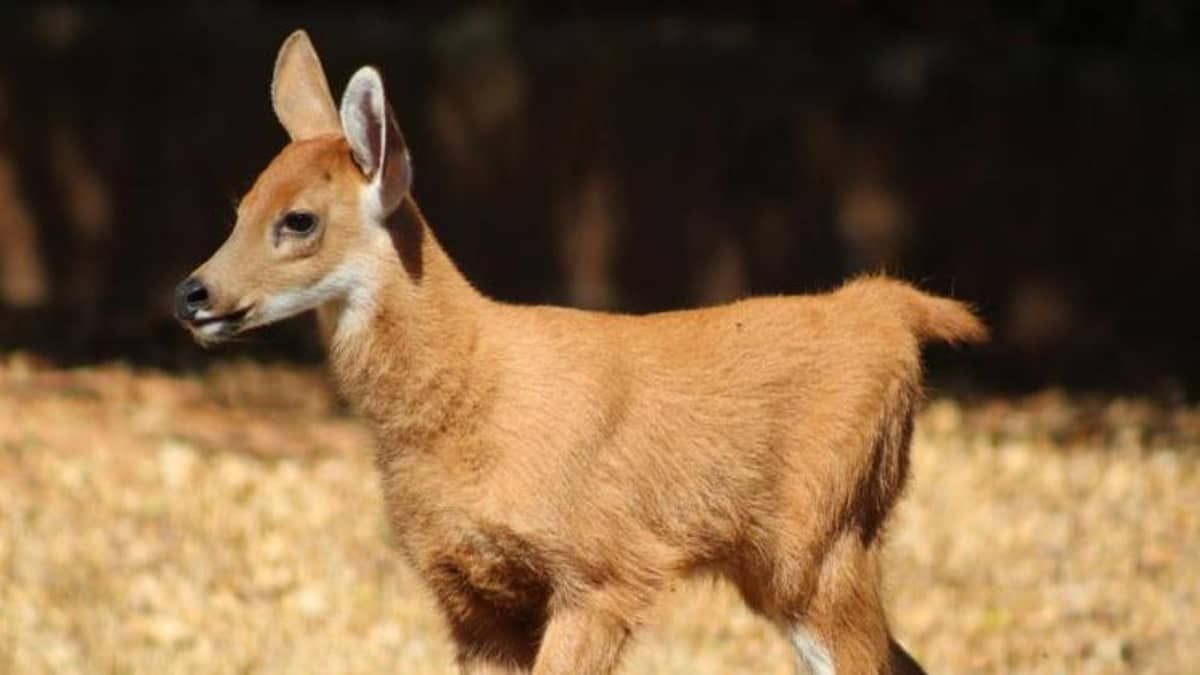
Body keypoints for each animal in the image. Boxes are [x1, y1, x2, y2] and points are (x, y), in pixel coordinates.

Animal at [175, 30, 986, 675]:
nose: (193, 294)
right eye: (241, 205)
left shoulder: (603, 570)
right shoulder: (470, 596)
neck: (474, 393)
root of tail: (886, 307)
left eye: (299, 220)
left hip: (819, 543)